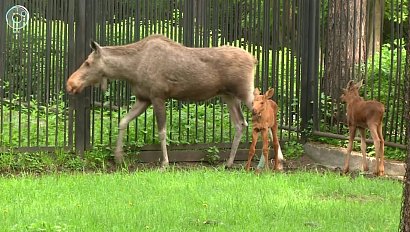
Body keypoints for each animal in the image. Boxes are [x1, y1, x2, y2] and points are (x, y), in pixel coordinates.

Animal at [66, 34, 256, 169]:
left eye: (87, 62)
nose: (70, 83)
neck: (131, 70)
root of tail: (254, 59)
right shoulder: (144, 99)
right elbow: (123, 121)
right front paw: (119, 157)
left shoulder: (158, 96)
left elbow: (162, 132)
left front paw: (165, 163)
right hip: (228, 96)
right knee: (241, 123)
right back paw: (229, 163)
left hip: (245, 92)